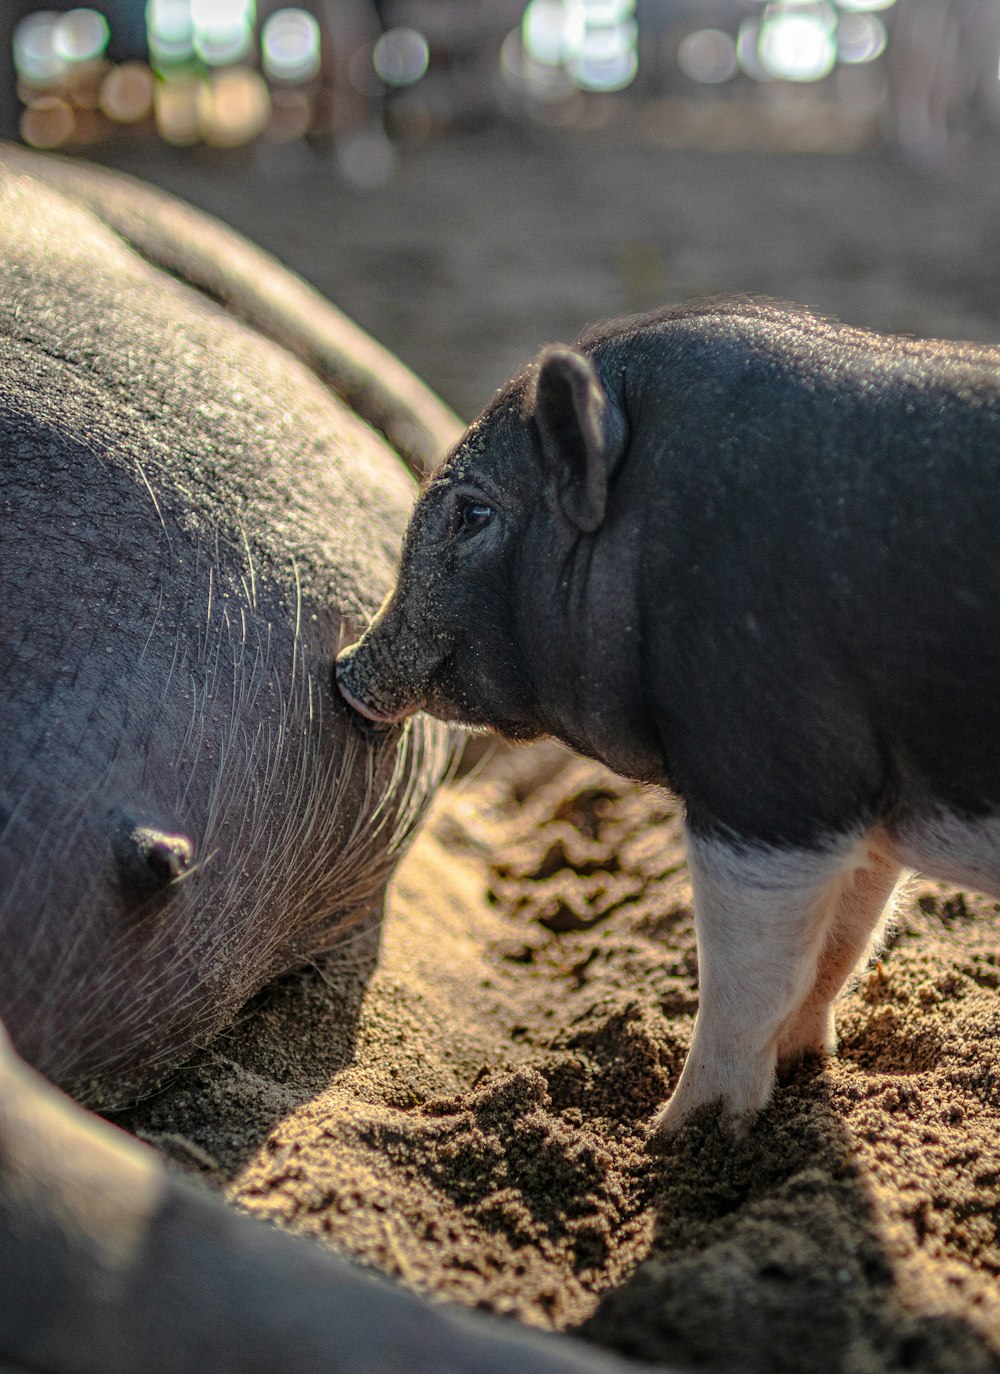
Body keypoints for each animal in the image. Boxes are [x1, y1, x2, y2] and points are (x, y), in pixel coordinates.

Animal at [337, 298, 1000, 1137]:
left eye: (472, 513)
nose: (340, 671)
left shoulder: (768, 776)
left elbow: (752, 980)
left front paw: (681, 1135)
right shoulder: (865, 809)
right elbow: (841, 946)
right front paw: (804, 1071)